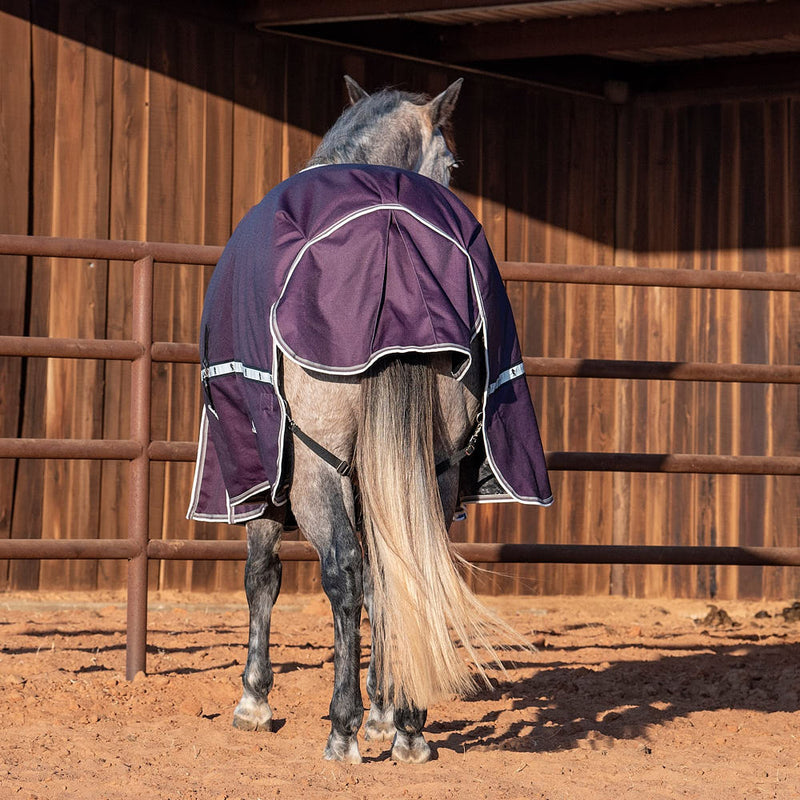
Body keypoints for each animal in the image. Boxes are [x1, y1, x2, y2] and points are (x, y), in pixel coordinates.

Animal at [194, 76, 551, 764]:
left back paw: (343, 728)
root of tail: (391, 240)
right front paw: (387, 712)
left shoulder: (267, 475)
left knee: (344, 574)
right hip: (432, 470)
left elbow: (262, 576)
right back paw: (408, 727)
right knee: (401, 570)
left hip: (316, 469)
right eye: (454, 166)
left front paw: (255, 701)